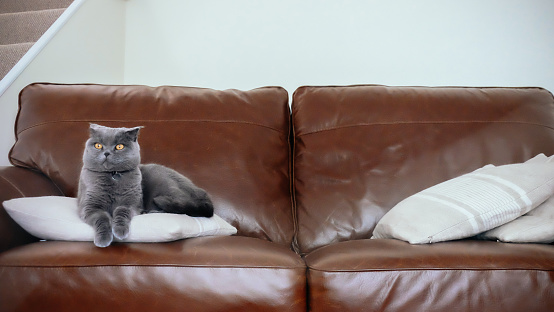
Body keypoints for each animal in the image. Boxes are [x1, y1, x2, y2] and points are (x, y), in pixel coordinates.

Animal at [77, 123, 213, 247]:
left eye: (119, 146)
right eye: (98, 145)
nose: (106, 153)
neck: (112, 175)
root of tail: (200, 192)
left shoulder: (132, 203)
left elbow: (121, 211)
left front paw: (120, 231)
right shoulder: (89, 206)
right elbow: (102, 218)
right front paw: (103, 240)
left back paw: (152, 211)